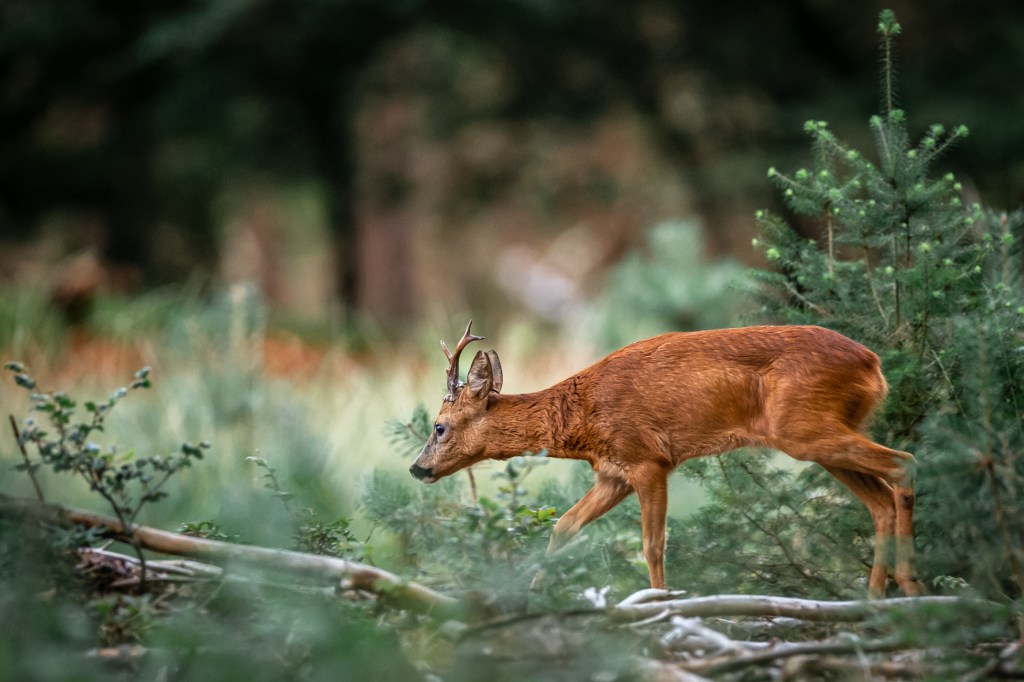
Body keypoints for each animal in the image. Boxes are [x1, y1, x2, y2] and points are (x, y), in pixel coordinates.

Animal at [409, 322, 922, 598]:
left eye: (439, 426)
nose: (417, 467)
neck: (581, 414)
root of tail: (873, 364)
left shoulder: (648, 460)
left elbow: (652, 545)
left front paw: (660, 606)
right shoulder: (613, 474)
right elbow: (564, 526)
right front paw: (536, 601)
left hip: (804, 430)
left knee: (904, 463)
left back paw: (908, 583)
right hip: (819, 435)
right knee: (880, 499)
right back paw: (874, 599)